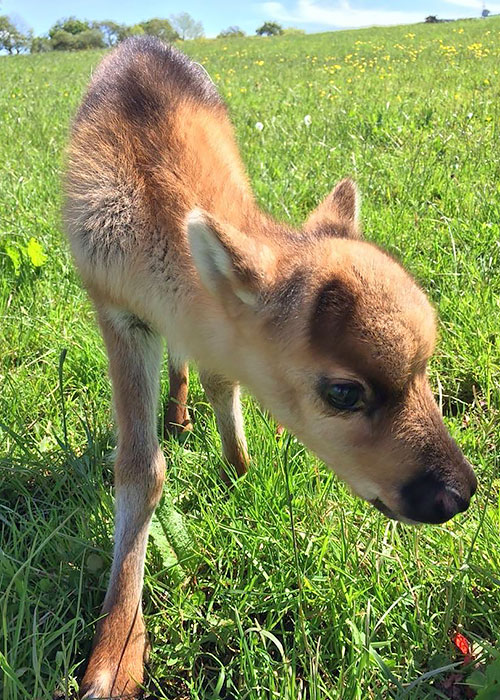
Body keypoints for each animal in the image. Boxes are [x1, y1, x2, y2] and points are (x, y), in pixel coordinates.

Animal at [64, 39, 478, 700]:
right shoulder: (118, 314)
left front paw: (240, 470)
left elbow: (222, 378)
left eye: (424, 369)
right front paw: (116, 652)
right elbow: (139, 469)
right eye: (343, 392)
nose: (459, 493)